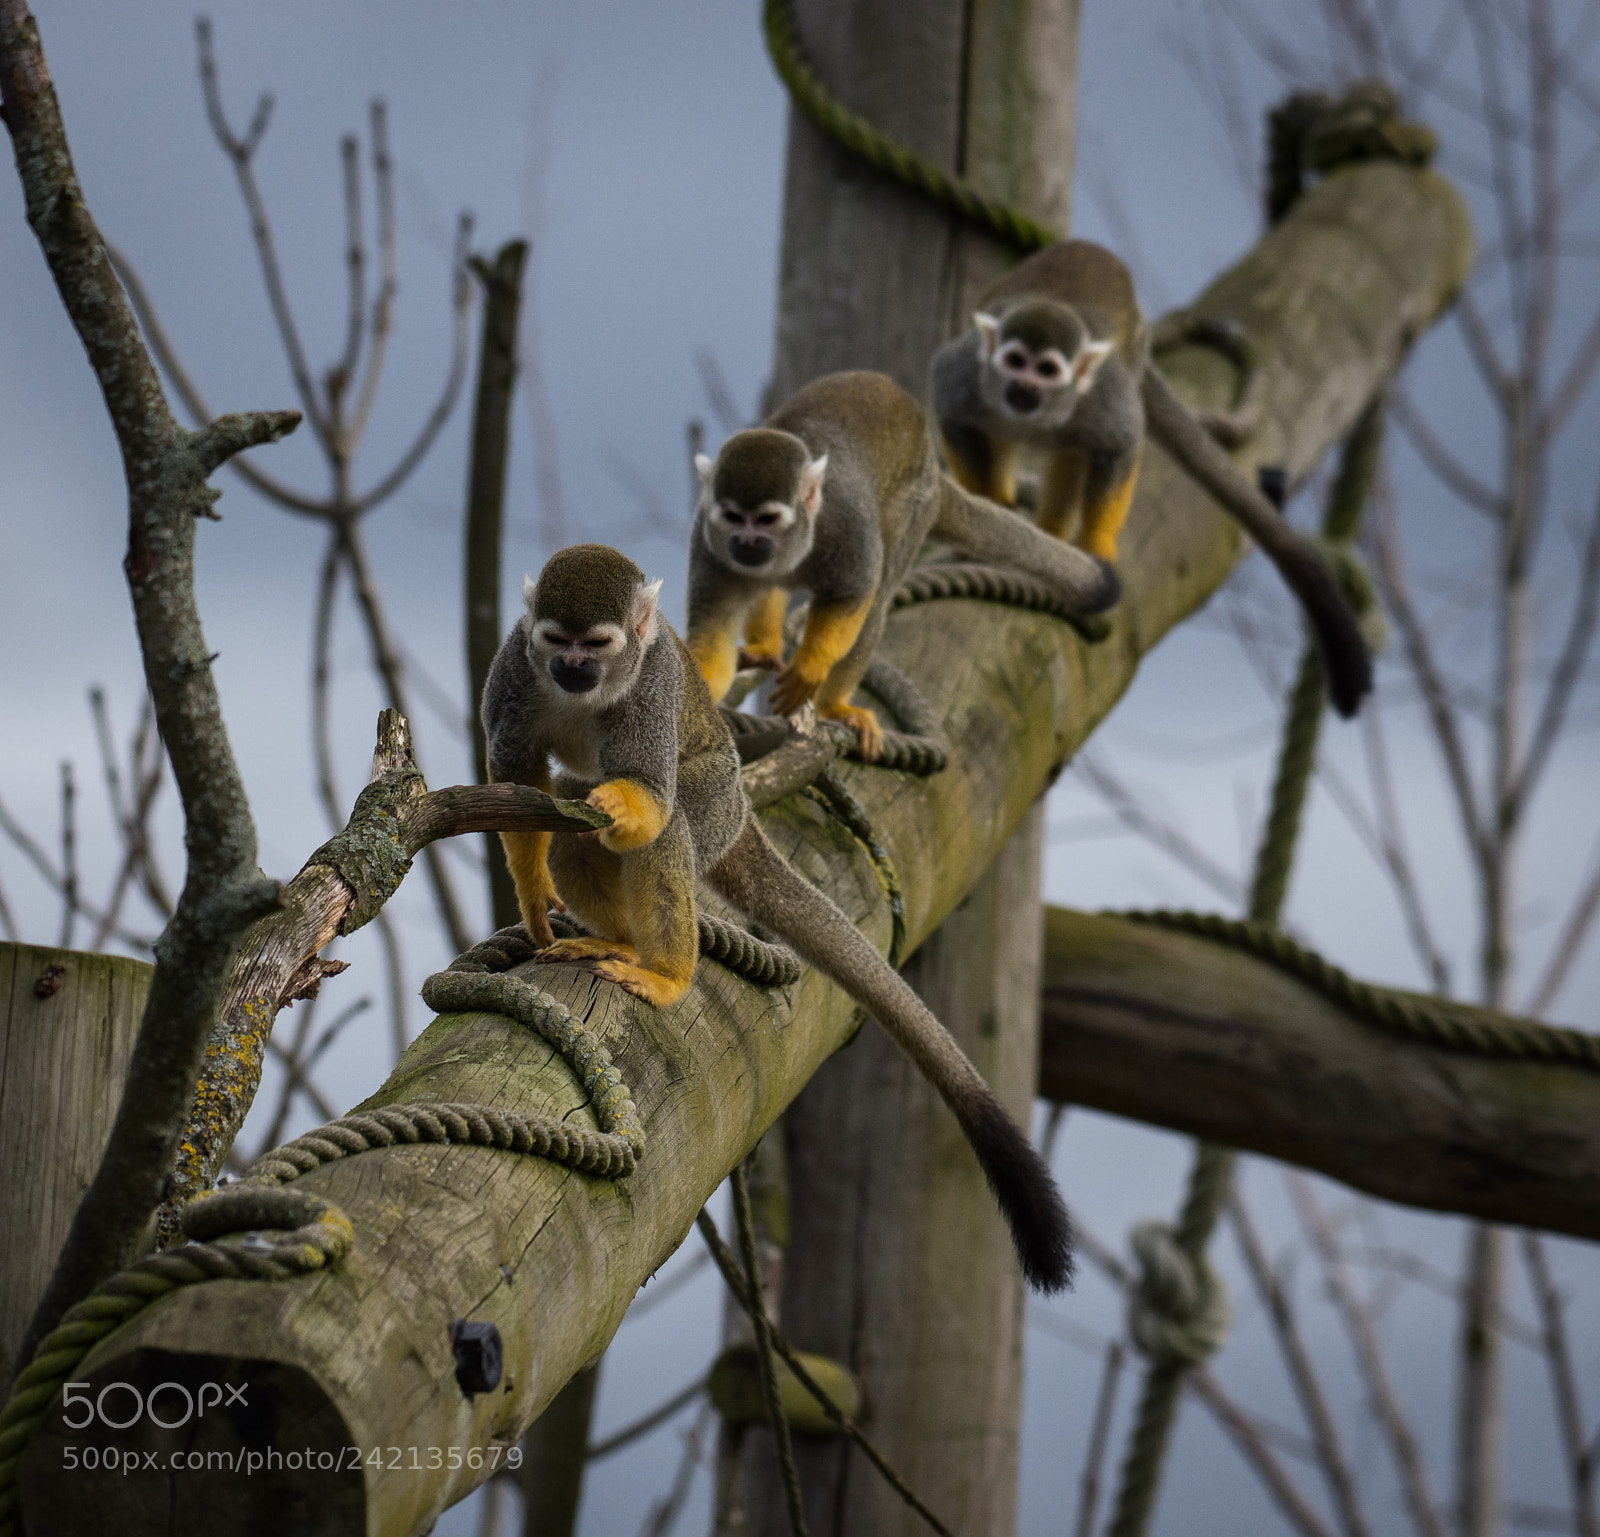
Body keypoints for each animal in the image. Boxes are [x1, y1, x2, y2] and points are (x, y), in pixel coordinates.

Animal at [483, 542, 1073, 1292]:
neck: (583, 693)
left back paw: (667, 970)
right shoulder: (515, 668)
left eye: (598, 645)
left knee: (670, 826)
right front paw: (533, 895)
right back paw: (616, 937)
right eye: (558, 641)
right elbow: (519, 780)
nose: (573, 669)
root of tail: (741, 806)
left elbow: (650, 802)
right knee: (573, 817)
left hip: (715, 797)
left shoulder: (651, 688)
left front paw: (622, 811)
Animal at [686, 370, 1120, 760]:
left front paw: (810, 668)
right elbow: (713, 634)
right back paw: (767, 646)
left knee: (878, 594)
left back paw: (834, 707)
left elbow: (857, 593)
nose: (747, 542)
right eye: (733, 517)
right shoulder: (709, 544)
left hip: (913, 504)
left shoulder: (846, 527)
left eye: (767, 519)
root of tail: (933, 470)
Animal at [931, 239, 1373, 716]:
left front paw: (1095, 546)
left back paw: (1052, 530)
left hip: (1131, 355)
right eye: (1015, 361)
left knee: (1078, 449)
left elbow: (1121, 443)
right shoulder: (968, 377)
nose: (1024, 387)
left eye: (1046, 370)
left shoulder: (1101, 396)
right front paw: (992, 508)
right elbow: (953, 414)